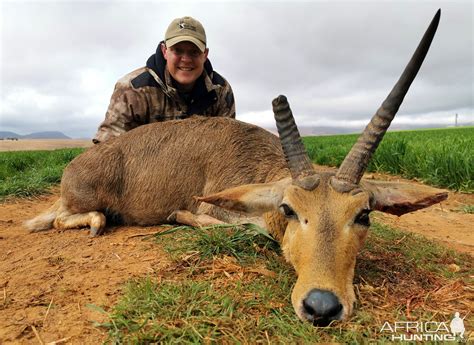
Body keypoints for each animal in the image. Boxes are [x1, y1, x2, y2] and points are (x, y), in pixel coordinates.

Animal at [26, 9, 448, 324]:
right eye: (289, 210)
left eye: (363, 215)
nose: (322, 306)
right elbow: (241, 229)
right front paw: (182, 216)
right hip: (82, 202)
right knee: (64, 218)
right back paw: (96, 222)